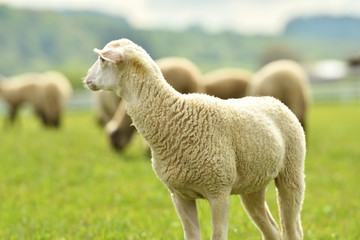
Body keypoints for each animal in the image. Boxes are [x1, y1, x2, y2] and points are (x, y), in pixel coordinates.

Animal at [84, 39, 306, 240]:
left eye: (101, 59)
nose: (86, 78)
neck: (176, 118)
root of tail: (273, 100)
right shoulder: (179, 194)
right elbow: (191, 236)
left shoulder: (219, 191)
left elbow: (218, 236)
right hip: (253, 183)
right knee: (272, 230)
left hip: (291, 173)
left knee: (292, 230)